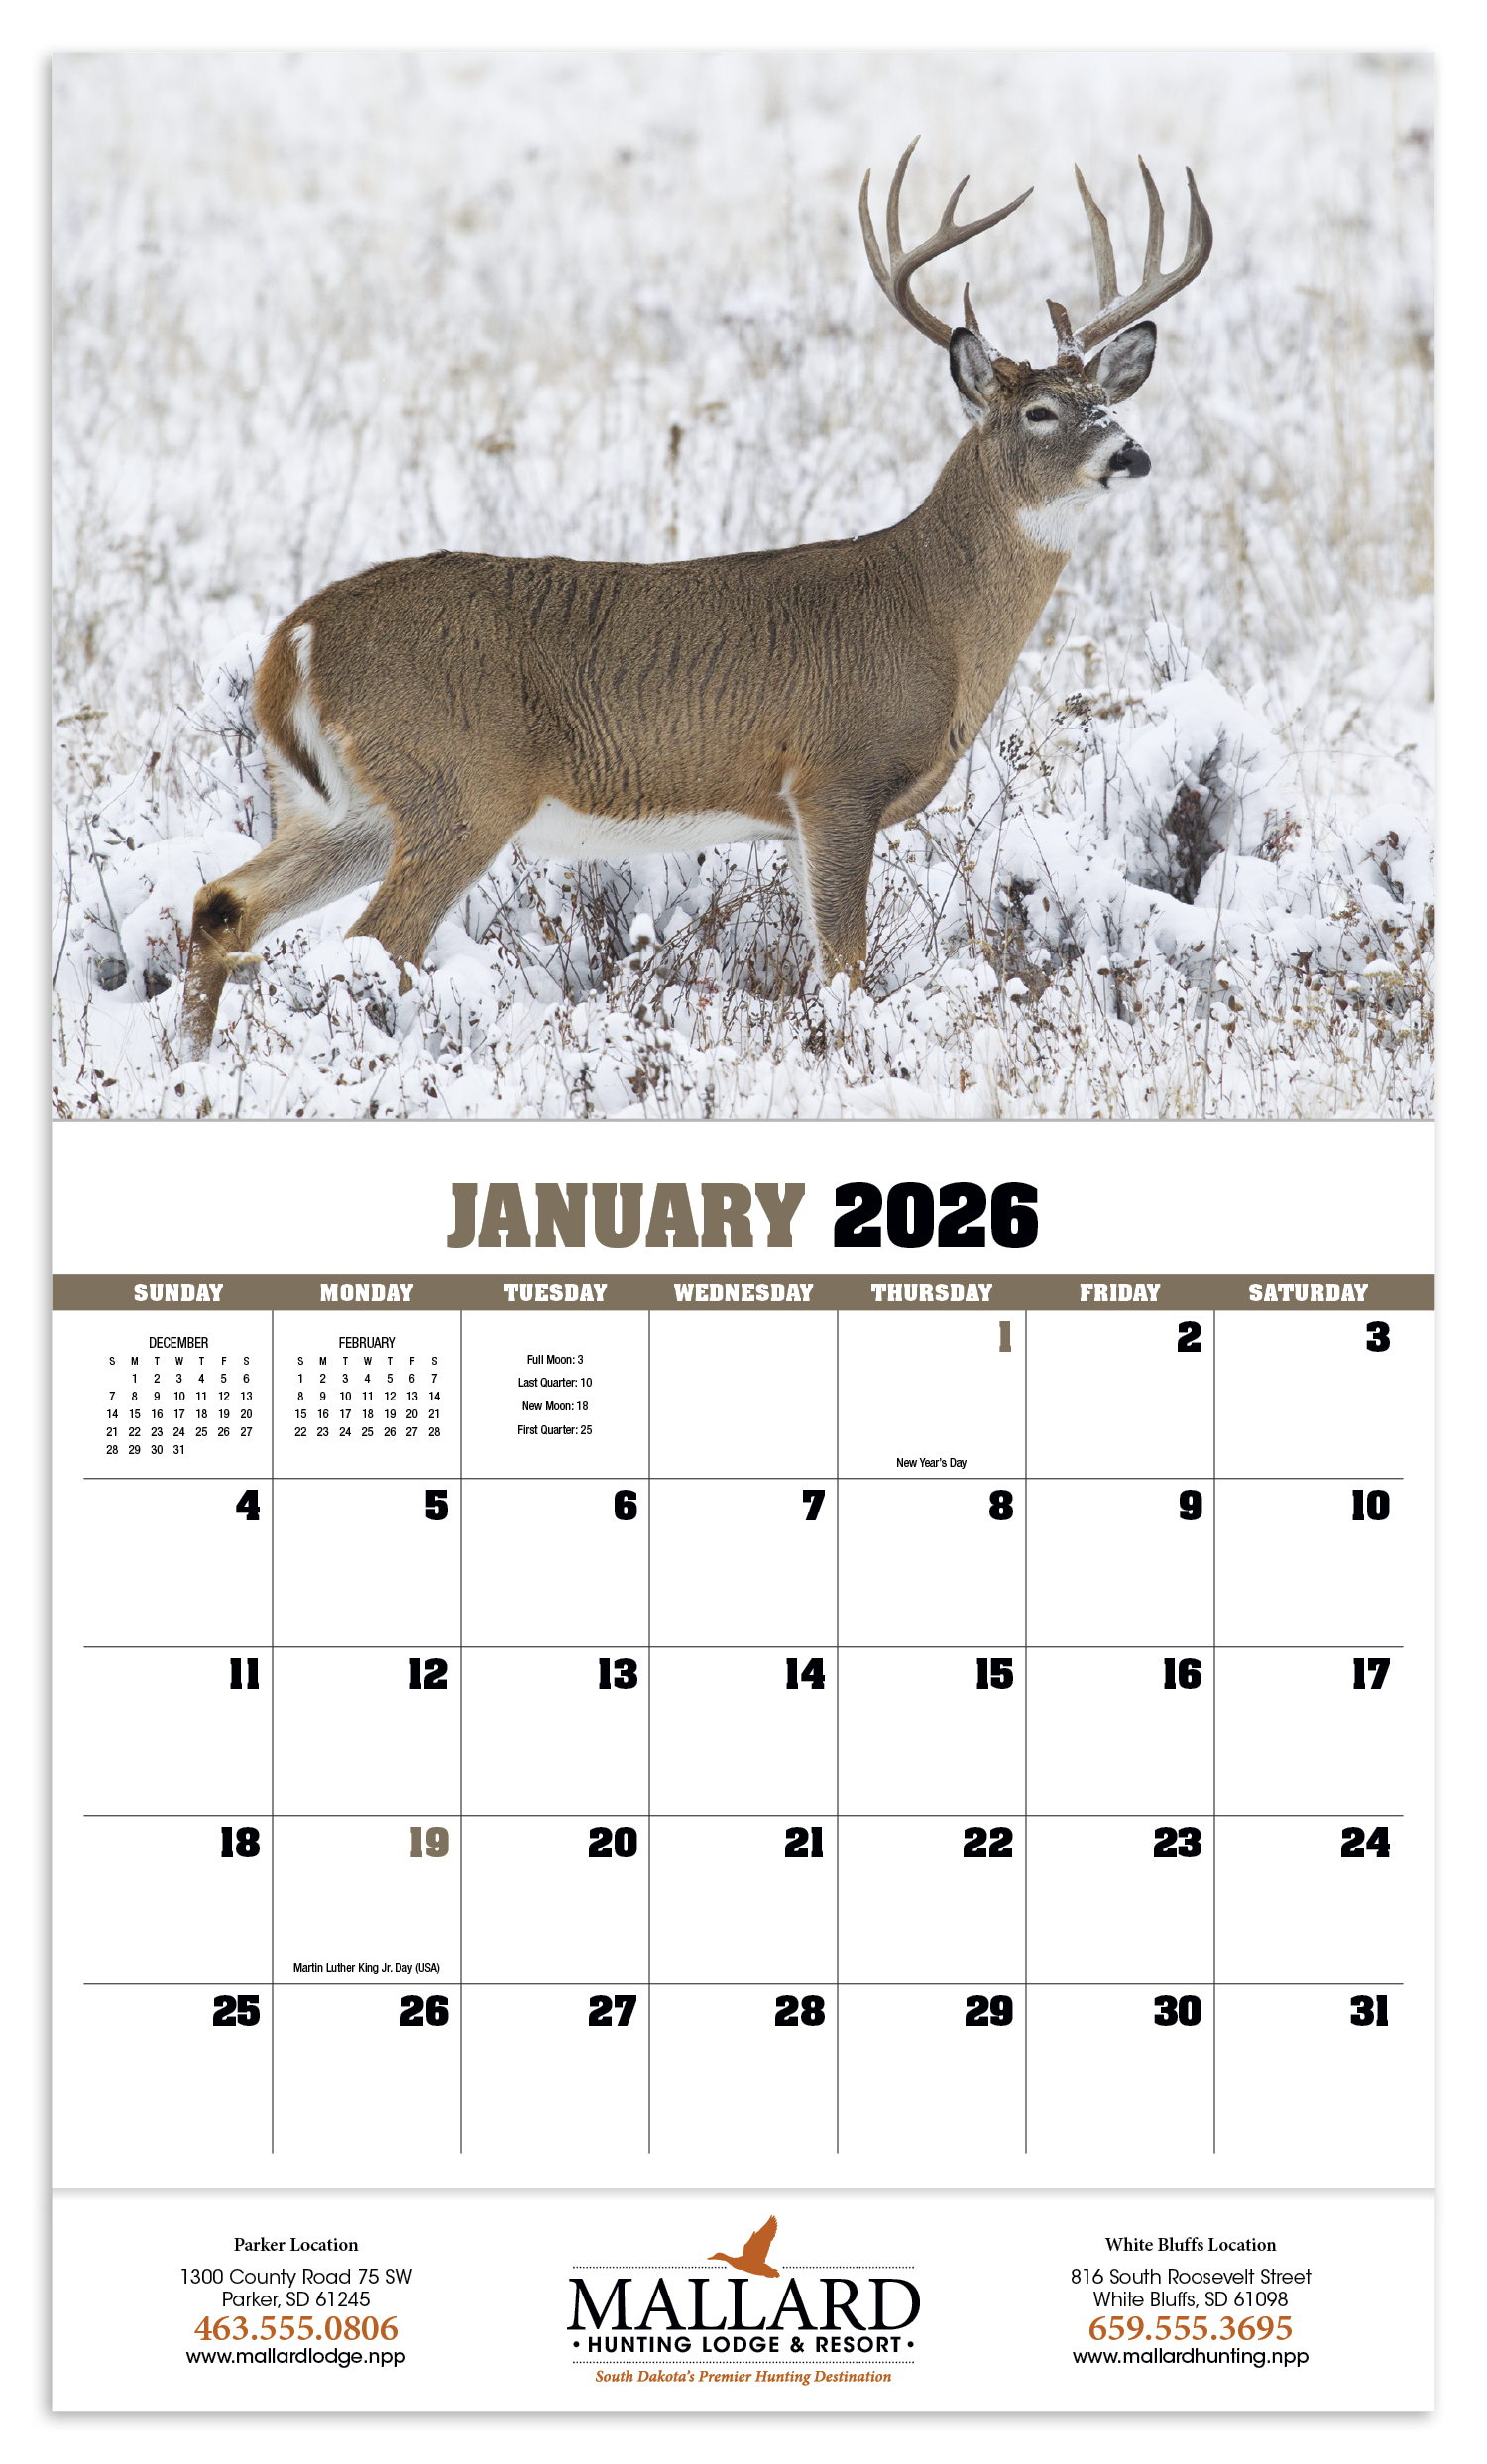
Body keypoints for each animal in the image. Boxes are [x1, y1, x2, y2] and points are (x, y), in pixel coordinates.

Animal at [180, 141, 1212, 1059]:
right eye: (1039, 411)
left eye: (1108, 402)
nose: (1130, 453)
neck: (934, 613)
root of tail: (297, 639)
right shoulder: (836, 772)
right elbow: (845, 966)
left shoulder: (800, 810)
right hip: (459, 785)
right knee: (372, 942)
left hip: (338, 806)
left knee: (223, 903)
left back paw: (192, 1061)